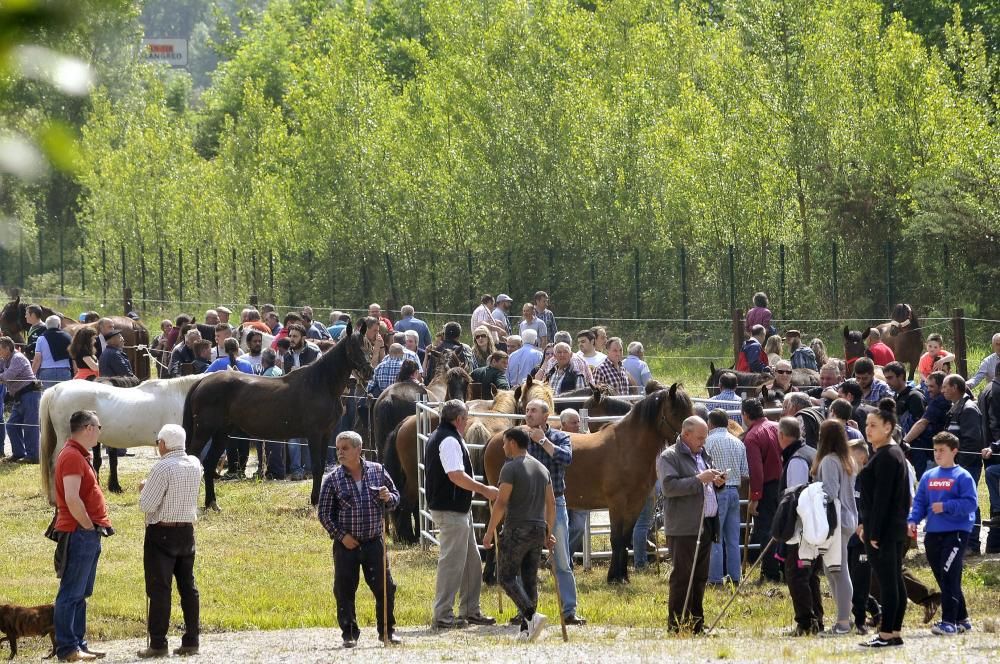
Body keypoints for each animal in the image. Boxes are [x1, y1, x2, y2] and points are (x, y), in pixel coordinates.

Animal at [182, 320, 374, 510]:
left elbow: (321, 467)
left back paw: (212, 503)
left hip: (221, 433)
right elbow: (317, 467)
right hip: (204, 431)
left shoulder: (326, 434)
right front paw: (314, 502)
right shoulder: (314, 434)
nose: (369, 372)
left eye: (369, 346)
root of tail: (202, 381)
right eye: (354, 347)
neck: (322, 383)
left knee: (208, 464)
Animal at [486, 382, 692, 584]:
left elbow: (626, 538)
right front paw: (614, 577)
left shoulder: (636, 503)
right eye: (675, 412)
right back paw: (493, 576)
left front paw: (623, 576)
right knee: (497, 531)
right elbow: (616, 539)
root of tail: (497, 438)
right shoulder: (617, 503)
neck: (627, 447)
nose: (687, 440)